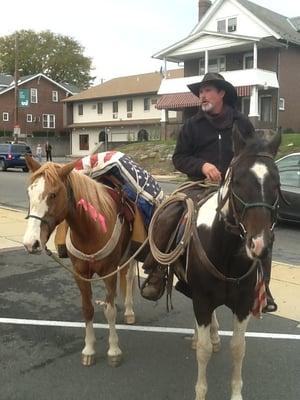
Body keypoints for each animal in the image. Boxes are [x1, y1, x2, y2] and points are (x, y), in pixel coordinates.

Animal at [185, 128, 282, 400]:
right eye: (237, 181)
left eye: (276, 184)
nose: (259, 244)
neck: (226, 251)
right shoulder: (202, 300)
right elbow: (204, 350)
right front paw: (200, 392)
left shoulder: (243, 304)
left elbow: (238, 348)